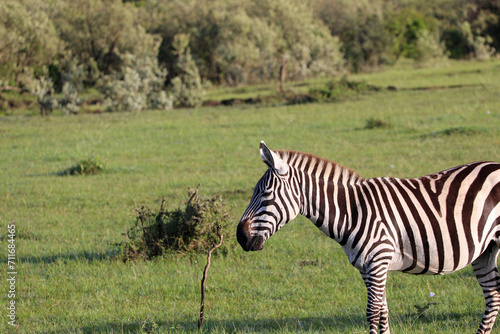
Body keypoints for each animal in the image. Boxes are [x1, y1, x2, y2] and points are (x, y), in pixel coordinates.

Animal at [236, 141, 500, 334]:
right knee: (493, 295)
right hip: (485, 250)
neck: (353, 211)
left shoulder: (378, 261)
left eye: (265, 194)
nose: (240, 237)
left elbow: (372, 312)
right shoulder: (366, 267)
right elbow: (383, 312)